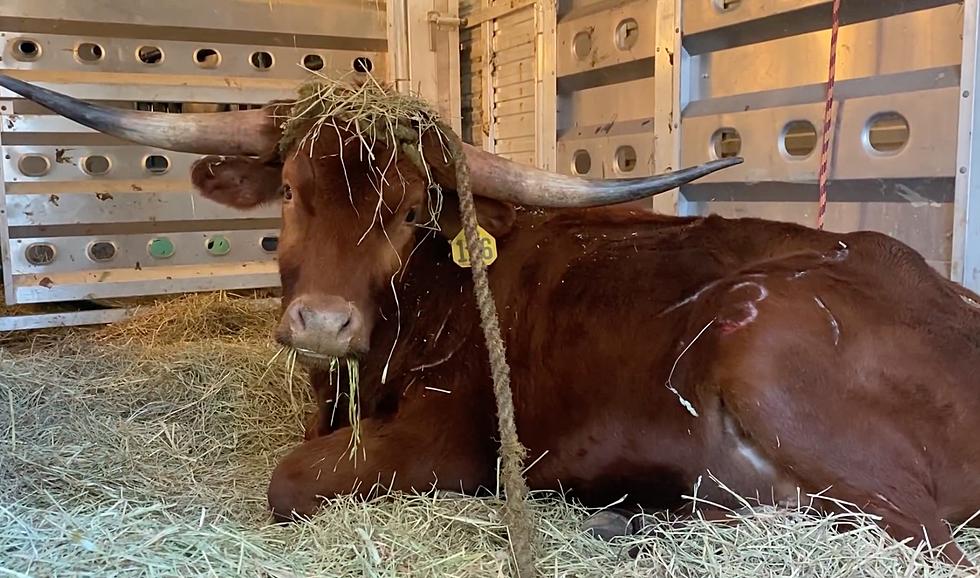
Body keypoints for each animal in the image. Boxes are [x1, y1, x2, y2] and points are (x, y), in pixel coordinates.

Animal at [3, 74, 976, 564]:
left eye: (406, 212)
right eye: (287, 192)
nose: (322, 324)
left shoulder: (446, 444)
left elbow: (288, 482)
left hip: (764, 345)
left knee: (918, 539)